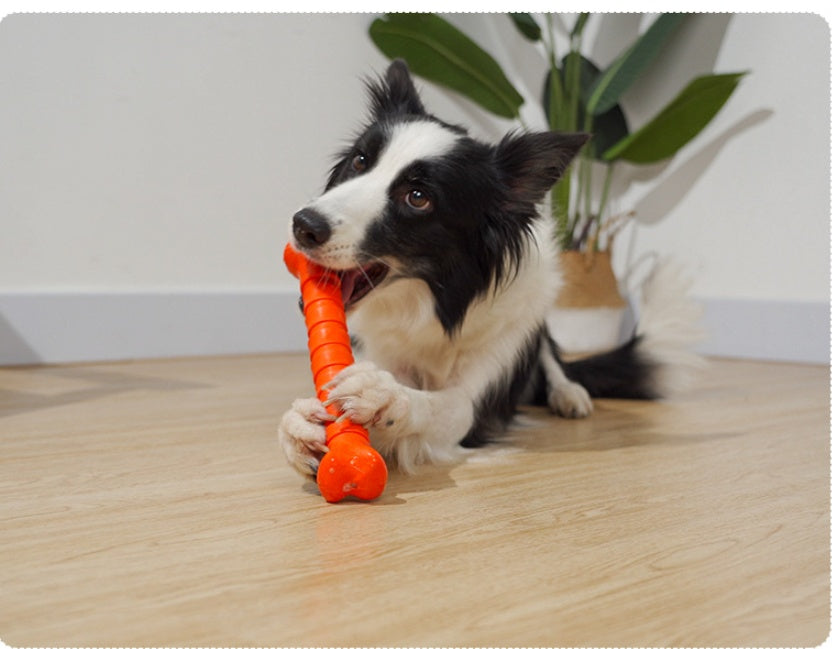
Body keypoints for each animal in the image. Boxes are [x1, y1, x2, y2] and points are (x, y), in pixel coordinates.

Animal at [278, 59, 704, 476]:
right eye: (360, 160)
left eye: (418, 197)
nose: (304, 225)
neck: (436, 306)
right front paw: (299, 426)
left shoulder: (480, 391)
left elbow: (442, 404)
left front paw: (386, 396)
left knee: (551, 360)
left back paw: (569, 394)